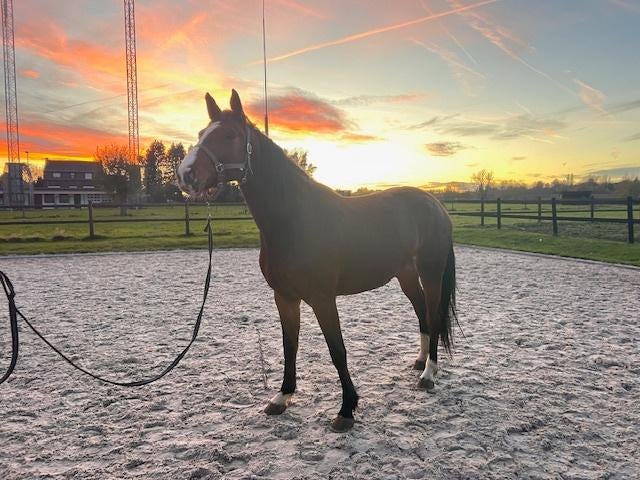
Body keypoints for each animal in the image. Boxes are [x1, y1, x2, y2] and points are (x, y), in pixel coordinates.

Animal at [177, 90, 457, 432]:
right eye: (201, 134)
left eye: (229, 135)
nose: (186, 175)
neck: (294, 220)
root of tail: (435, 204)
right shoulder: (284, 298)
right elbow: (290, 346)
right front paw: (282, 397)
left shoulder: (323, 299)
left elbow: (337, 350)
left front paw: (347, 410)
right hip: (405, 275)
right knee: (421, 314)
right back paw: (419, 362)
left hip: (431, 273)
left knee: (433, 314)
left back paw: (428, 374)